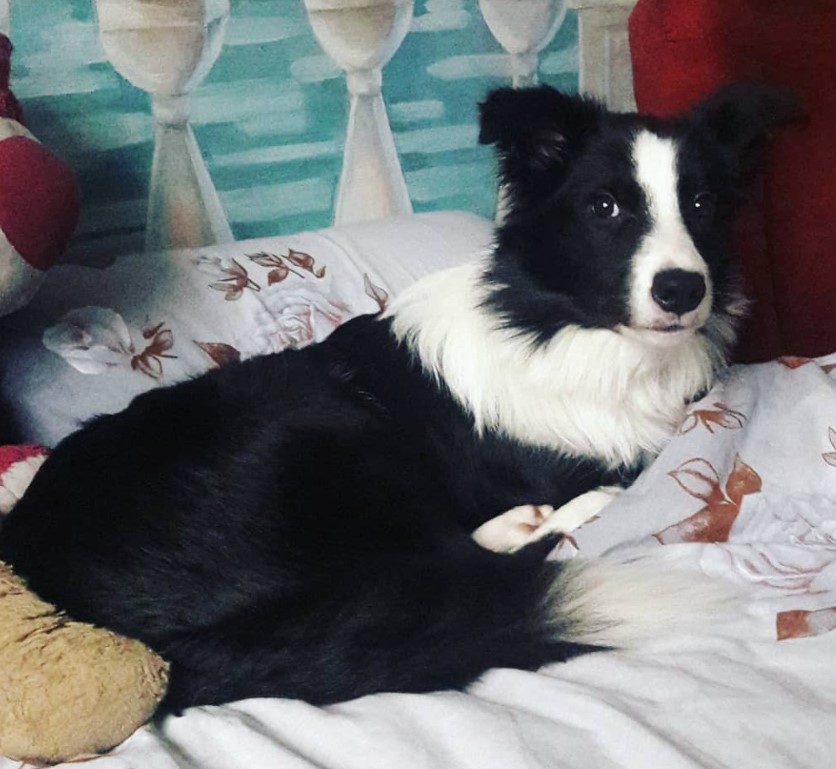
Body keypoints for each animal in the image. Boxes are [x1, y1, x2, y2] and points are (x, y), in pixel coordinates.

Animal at [0, 81, 796, 712]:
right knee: (446, 565)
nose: (683, 289)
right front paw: (571, 507)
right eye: (604, 206)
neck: (565, 326)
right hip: (331, 426)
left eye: (703, 203)